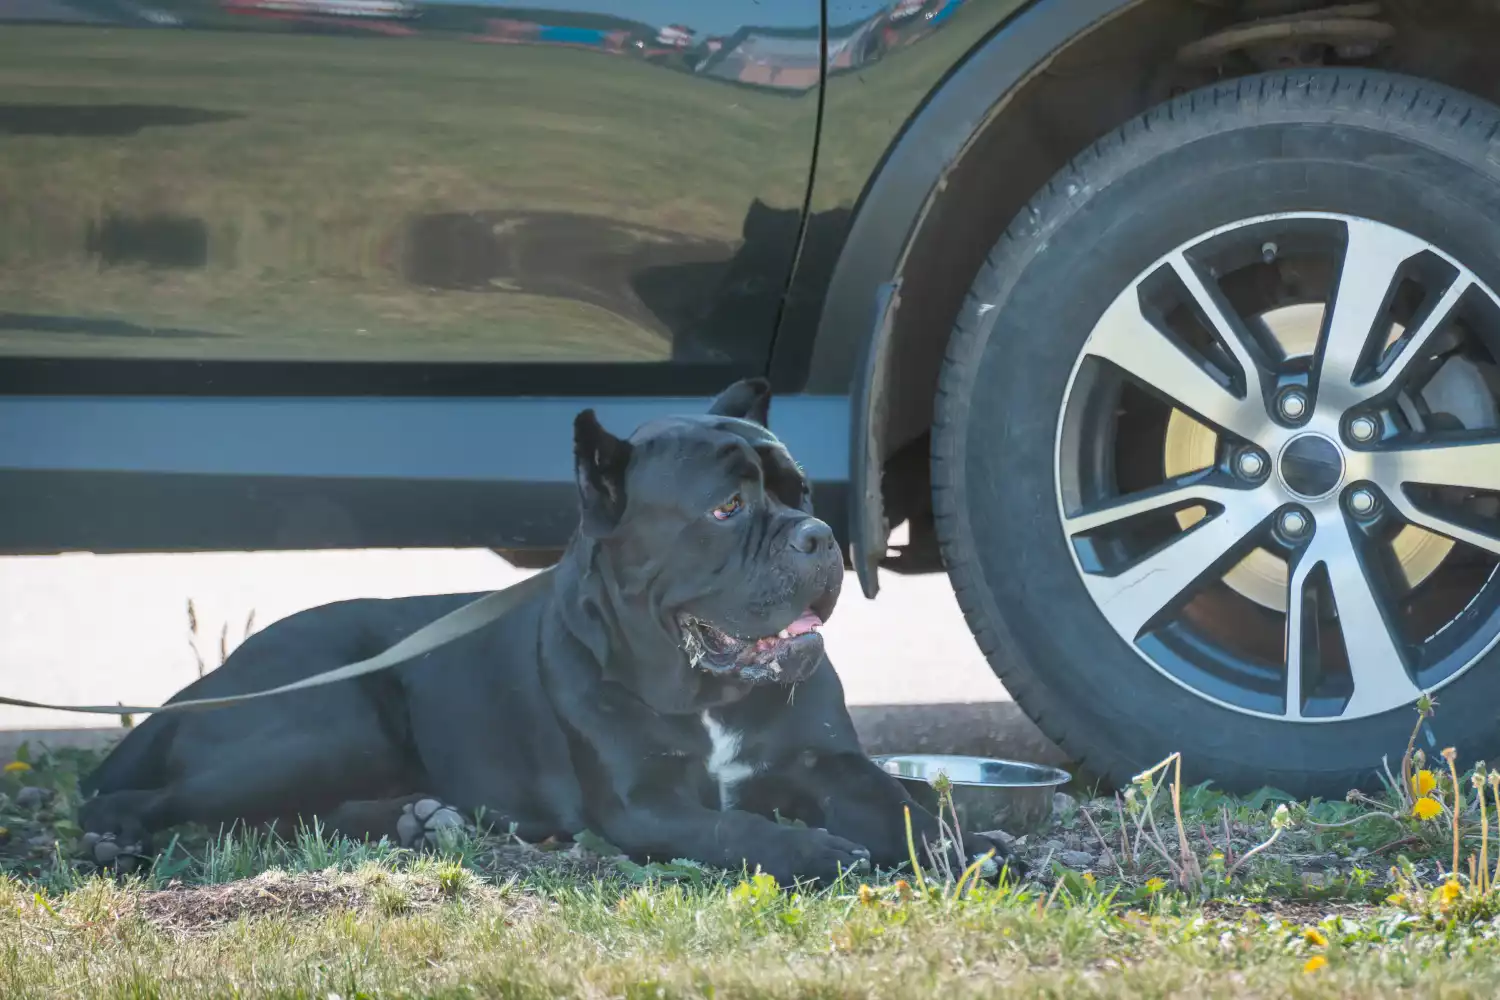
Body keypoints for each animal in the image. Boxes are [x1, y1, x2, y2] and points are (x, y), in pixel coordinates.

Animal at [82, 377, 1020, 881]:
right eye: (727, 507)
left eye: (804, 493)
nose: (819, 536)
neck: (703, 693)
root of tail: (214, 677)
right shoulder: (646, 804)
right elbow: (739, 827)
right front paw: (821, 853)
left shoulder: (831, 766)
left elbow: (907, 805)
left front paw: (970, 846)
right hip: (329, 722)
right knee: (160, 800)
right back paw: (113, 838)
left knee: (279, 818)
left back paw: (421, 820)